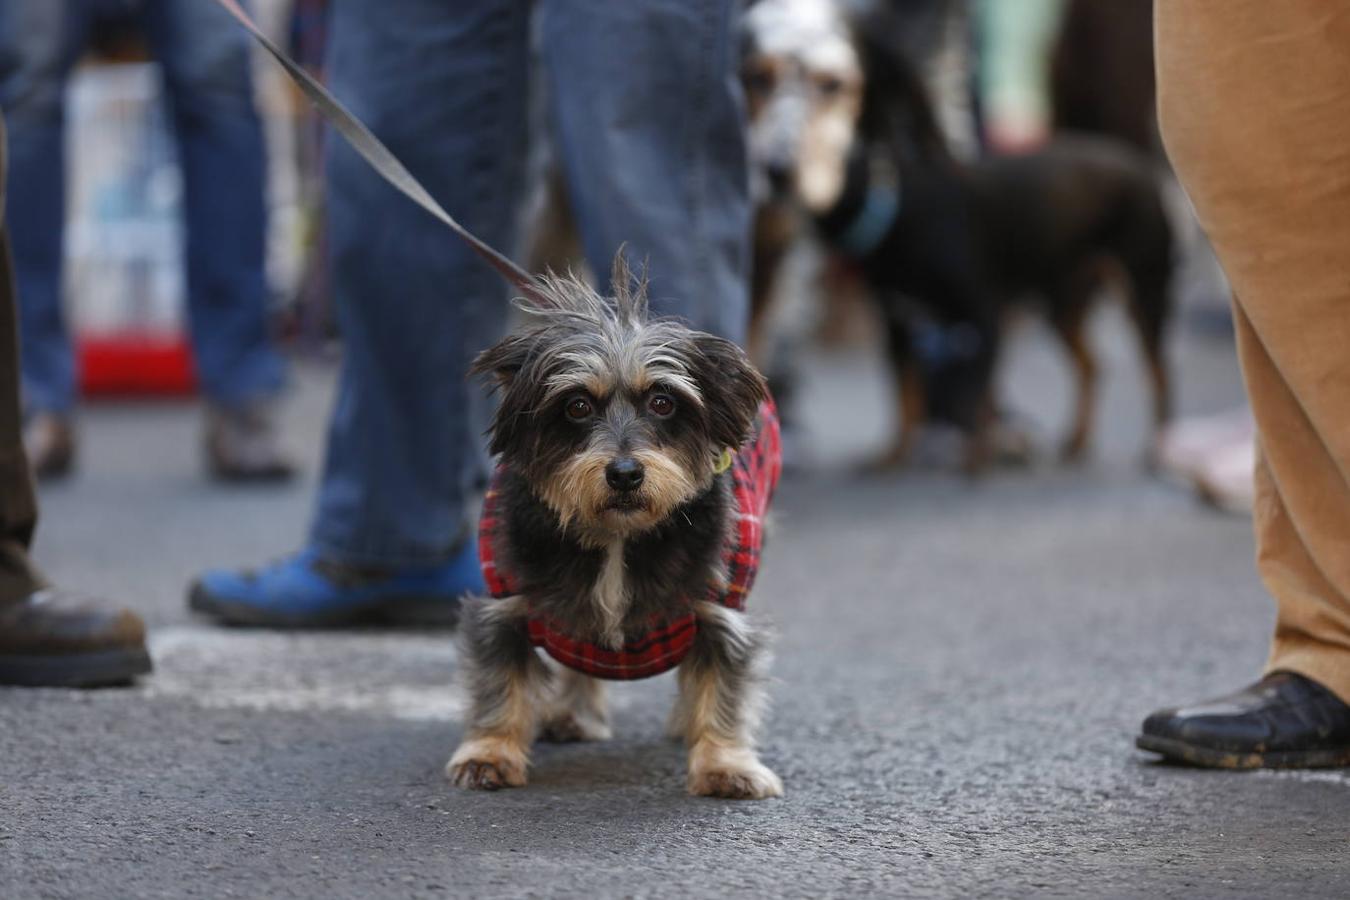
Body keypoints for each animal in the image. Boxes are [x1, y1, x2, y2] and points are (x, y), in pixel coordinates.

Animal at [445, 260, 783, 804]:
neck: (617, 539)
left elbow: (725, 686)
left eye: (664, 402)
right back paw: (572, 712)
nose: (624, 474)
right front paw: (489, 754)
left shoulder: (721, 609)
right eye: (577, 406)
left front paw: (725, 764)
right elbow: (499, 681)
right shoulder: (504, 603)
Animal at [745, 0, 1177, 472]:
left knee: (1158, 371)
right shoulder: (900, 324)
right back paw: (1076, 442)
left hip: (1143, 292)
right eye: (759, 79)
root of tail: (1140, 165)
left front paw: (977, 461)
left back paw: (1158, 445)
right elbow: (906, 398)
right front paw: (894, 455)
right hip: (1062, 304)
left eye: (833, 85)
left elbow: (976, 400)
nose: (776, 172)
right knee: (1091, 366)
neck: (902, 208)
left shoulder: (985, 318)